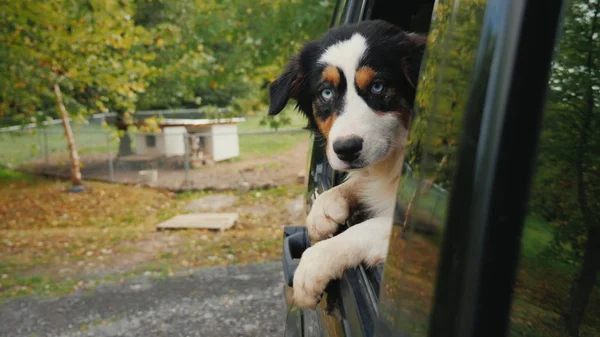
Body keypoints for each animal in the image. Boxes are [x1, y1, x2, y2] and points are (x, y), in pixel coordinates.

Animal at [268, 18, 426, 308]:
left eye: (377, 87)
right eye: (326, 92)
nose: (346, 149)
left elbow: (365, 228)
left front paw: (312, 266)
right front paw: (323, 209)